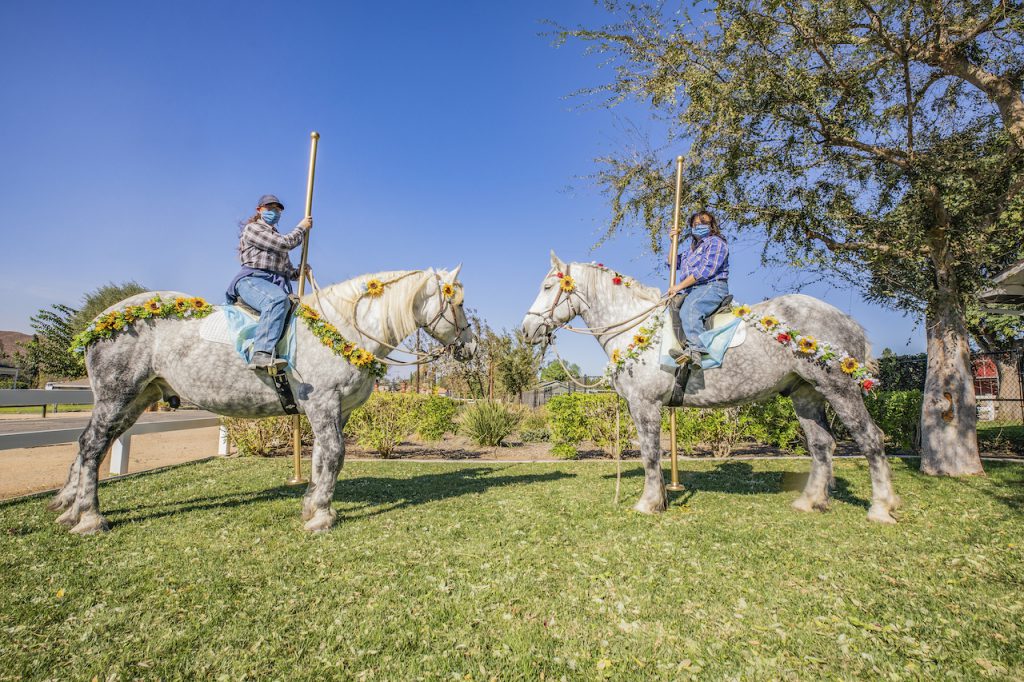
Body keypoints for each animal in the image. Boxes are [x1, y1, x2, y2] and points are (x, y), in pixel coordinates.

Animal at [49, 268, 477, 532]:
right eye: (457, 303)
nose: (471, 347)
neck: (342, 328)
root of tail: (101, 320)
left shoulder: (337, 411)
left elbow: (322, 457)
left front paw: (311, 505)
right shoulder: (323, 403)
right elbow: (335, 454)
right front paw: (322, 515)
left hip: (137, 398)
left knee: (94, 445)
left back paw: (69, 507)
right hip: (116, 395)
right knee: (92, 445)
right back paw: (90, 517)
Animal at [524, 251, 901, 522]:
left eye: (547, 288)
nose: (528, 329)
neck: (639, 329)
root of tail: (846, 320)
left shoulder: (645, 405)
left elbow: (649, 453)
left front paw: (649, 503)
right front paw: (659, 498)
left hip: (839, 388)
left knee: (870, 438)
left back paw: (881, 508)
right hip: (806, 393)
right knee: (822, 444)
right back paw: (810, 501)